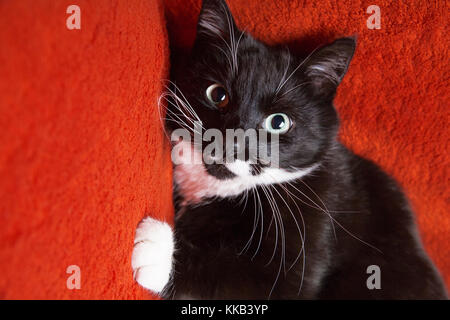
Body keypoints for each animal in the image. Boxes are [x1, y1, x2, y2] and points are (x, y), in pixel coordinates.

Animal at [130, 0, 446, 300]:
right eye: (217, 94)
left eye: (278, 122)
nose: (231, 142)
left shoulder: (314, 230)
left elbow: (244, 278)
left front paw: (156, 250)